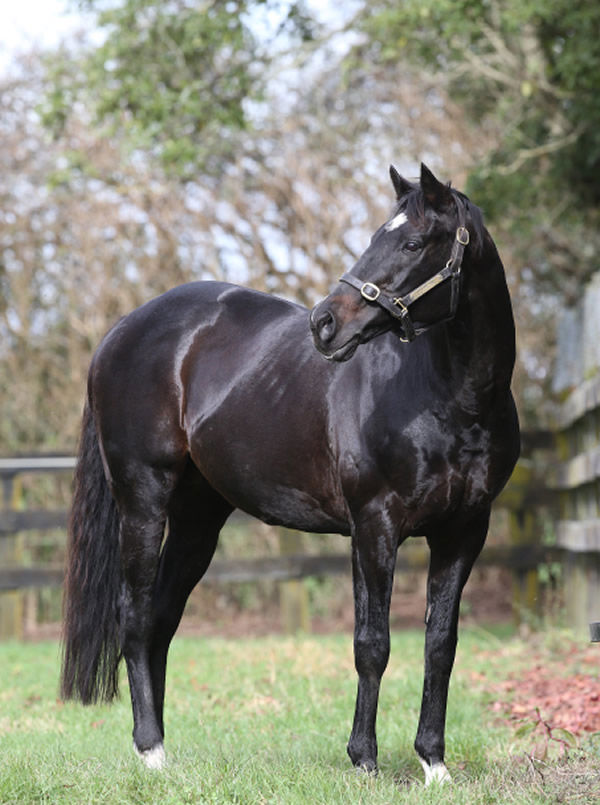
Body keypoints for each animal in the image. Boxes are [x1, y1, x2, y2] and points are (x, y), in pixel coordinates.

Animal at [62, 165, 520, 784]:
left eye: (413, 243)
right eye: (377, 236)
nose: (324, 324)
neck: (453, 399)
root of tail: (119, 332)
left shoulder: (464, 532)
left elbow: (441, 645)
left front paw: (434, 765)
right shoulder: (374, 526)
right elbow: (372, 644)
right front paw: (364, 760)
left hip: (197, 519)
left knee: (159, 620)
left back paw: (162, 749)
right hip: (142, 501)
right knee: (133, 619)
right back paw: (150, 753)